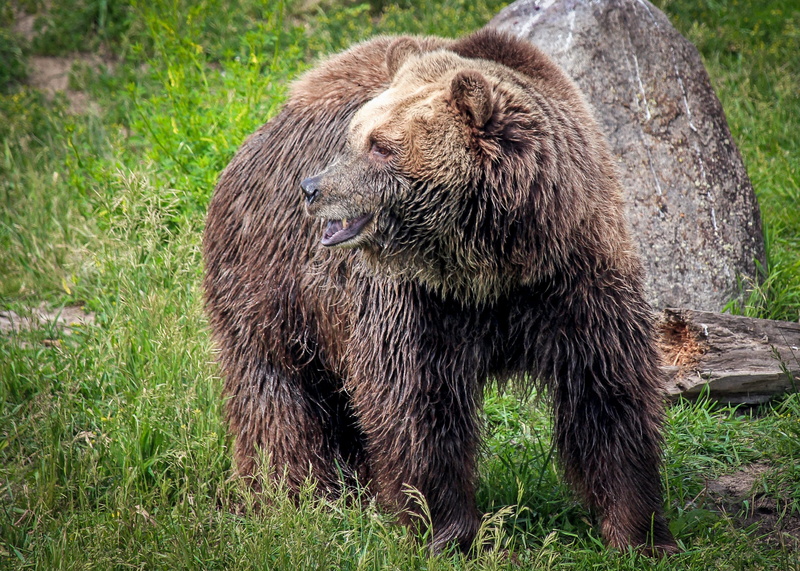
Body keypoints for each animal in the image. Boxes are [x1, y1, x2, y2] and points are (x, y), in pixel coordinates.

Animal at [203, 28, 677, 555]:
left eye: (380, 146)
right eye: (354, 137)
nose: (312, 188)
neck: (490, 265)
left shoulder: (575, 278)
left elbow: (607, 393)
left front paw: (640, 532)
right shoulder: (413, 304)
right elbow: (417, 406)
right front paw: (445, 531)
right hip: (270, 284)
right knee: (276, 392)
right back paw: (294, 493)